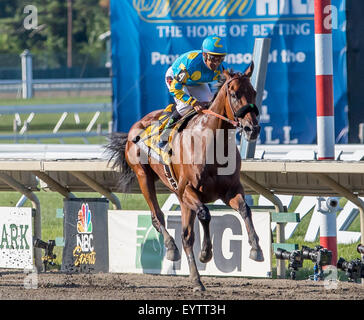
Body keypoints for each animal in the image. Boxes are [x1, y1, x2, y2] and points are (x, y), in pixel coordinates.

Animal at [106, 61, 264, 292]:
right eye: (234, 94)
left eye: (253, 92)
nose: (253, 129)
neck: (211, 143)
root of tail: (137, 124)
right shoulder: (187, 190)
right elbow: (205, 215)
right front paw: (206, 253)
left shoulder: (230, 190)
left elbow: (245, 209)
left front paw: (256, 249)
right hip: (145, 178)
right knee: (159, 218)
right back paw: (175, 253)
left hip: (179, 198)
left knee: (185, 234)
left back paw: (195, 277)